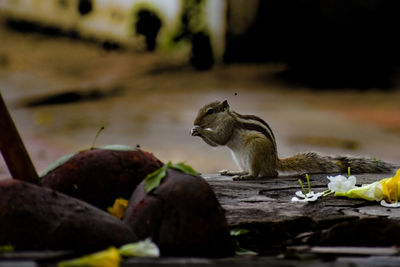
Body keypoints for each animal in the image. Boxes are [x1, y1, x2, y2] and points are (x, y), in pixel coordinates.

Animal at [191, 100, 396, 180]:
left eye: (210, 111)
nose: (194, 122)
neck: (225, 117)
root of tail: (273, 160)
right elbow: (217, 142)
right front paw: (195, 130)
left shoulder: (228, 126)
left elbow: (220, 139)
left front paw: (199, 130)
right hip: (240, 157)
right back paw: (233, 172)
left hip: (254, 150)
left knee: (264, 174)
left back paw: (246, 176)